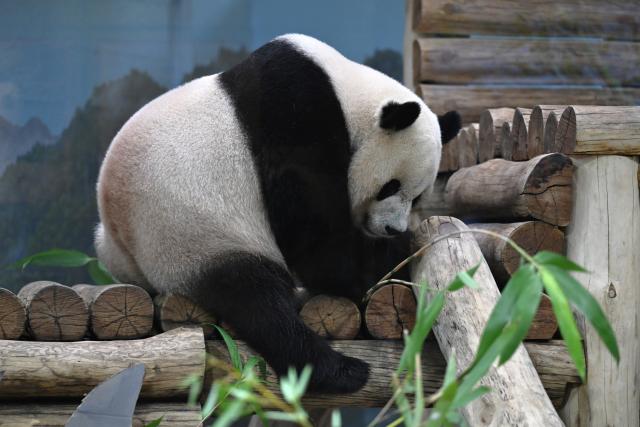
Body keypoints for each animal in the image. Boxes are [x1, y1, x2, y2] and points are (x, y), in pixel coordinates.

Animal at [95, 34, 461, 393]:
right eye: (389, 187)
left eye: (417, 197)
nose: (391, 228)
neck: (348, 93)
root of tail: (126, 246)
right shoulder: (295, 114)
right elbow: (318, 243)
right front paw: (393, 254)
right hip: (194, 236)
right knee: (260, 304)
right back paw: (340, 371)